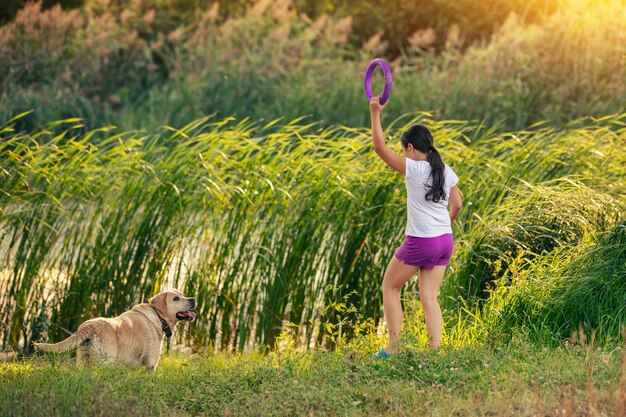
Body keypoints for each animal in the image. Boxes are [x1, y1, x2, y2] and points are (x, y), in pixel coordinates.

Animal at [33, 288, 195, 372]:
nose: (193, 299)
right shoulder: (151, 364)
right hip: (106, 362)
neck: (158, 316)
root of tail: (89, 327)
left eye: (183, 294)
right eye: (176, 298)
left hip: (83, 361)